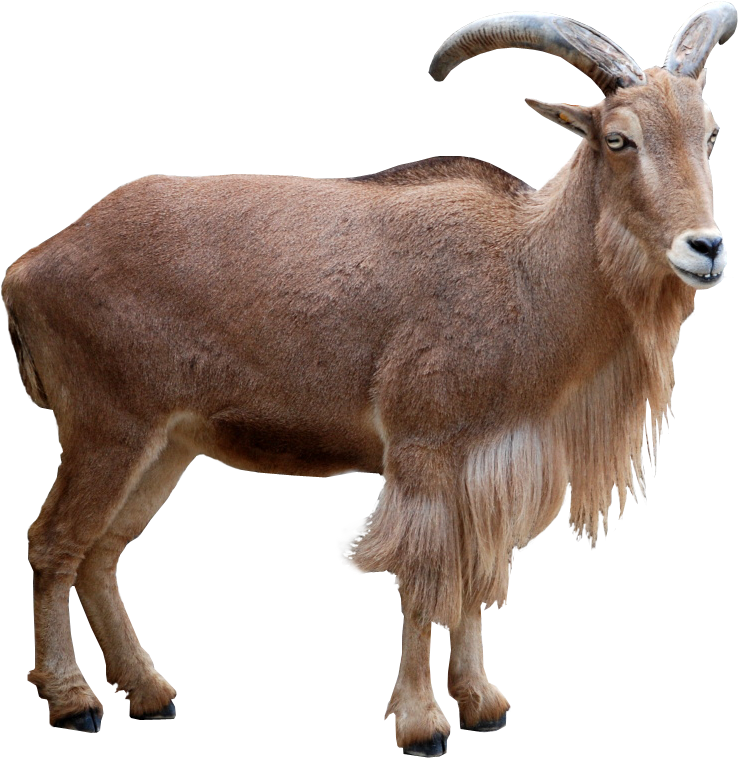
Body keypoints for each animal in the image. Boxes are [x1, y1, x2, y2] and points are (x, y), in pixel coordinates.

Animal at [3, 3, 733, 753]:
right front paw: (421, 722)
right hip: (106, 428)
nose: (705, 248)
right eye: (619, 139)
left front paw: (482, 703)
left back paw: (150, 692)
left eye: (708, 133)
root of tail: (30, 265)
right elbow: (419, 579)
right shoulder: (421, 449)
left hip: (166, 445)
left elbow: (470, 581)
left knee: (102, 551)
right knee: (53, 543)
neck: (521, 268)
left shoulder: (481, 468)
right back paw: (74, 702)